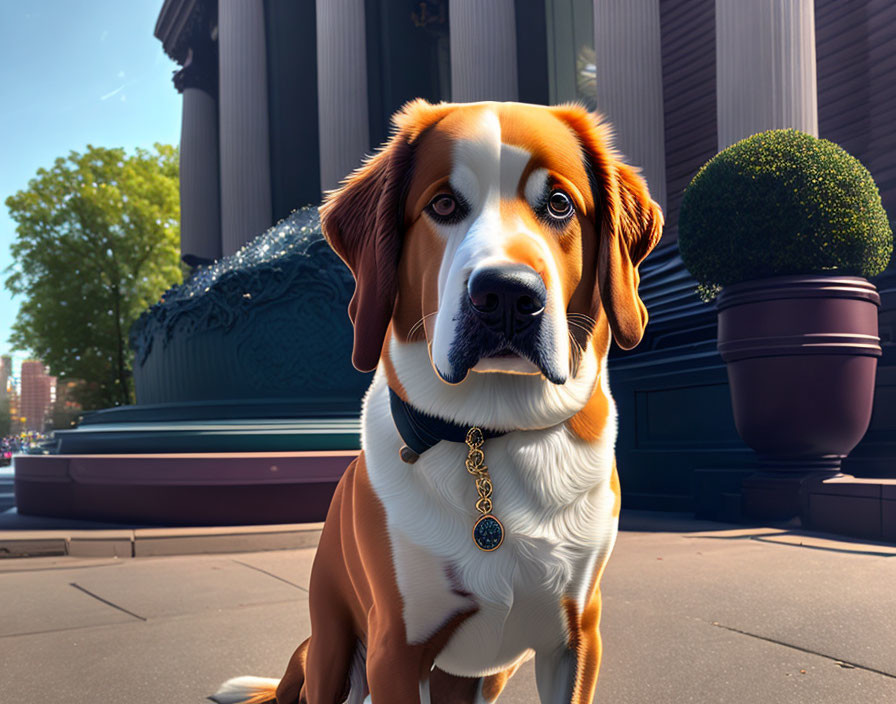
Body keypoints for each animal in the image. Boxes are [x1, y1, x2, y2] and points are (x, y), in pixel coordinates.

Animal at [215, 99, 664, 704]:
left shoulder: (577, 638)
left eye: (560, 204)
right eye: (444, 204)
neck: (489, 431)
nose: (507, 295)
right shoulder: (396, 650)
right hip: (330, 645)